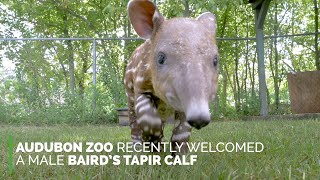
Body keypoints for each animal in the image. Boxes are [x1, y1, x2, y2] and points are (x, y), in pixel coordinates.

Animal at [124, 0, 219, 153]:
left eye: (215, 60)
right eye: (161, 58)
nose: (200, 118)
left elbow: (181, 134)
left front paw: (179, 155)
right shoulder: (141, 87)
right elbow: (146, 115)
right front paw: (152, 143)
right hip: (129, 95)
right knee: (133, 122)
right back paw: (138, 147)